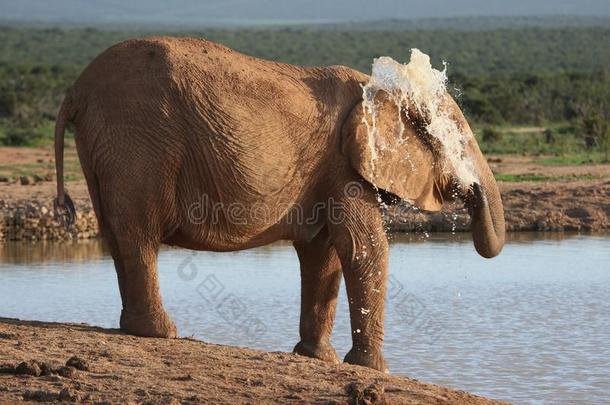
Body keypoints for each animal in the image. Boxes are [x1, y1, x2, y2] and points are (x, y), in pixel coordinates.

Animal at [52, 36, 502, 370]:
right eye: (458, 140)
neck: (383, 91)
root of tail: (76, 89)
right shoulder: (343, 165)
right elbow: (362, 248)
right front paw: (373, 369)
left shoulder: (329, 170)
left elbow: (324, 253)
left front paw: (317, 358)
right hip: (139, 140)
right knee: (139, 235)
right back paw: (162, 333)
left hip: (106, 144)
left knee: (117, 236)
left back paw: (135, 329)